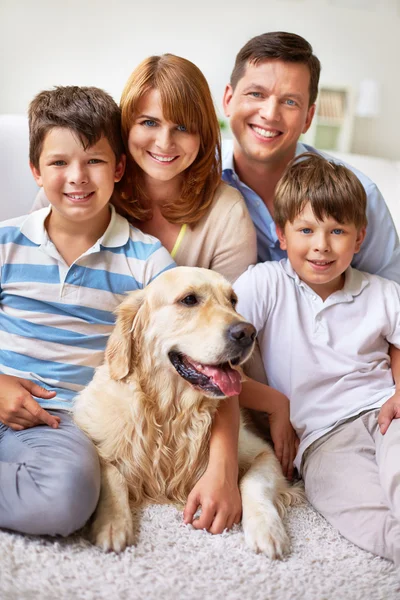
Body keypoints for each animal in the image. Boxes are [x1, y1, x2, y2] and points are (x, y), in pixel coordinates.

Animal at [73, 268, 302, 556]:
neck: (171, 412)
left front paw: (267, 529)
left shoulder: (264, 452)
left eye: (233, 300)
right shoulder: (93, 435)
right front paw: (113, 523)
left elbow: (253, 482)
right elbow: (112, 472)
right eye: (189, 299)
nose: (248, 332)